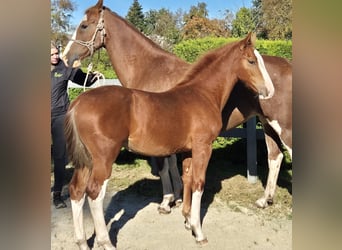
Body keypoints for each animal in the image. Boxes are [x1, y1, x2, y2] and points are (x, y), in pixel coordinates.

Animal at [65, 0, 294, 211]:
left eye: (84, 25)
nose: (67, 57)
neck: (149, 68)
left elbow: (164, 166)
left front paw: (167, 201)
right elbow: (174, 166)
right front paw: (177, 196)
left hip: (283, 126)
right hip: (267, 123)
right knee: (275, 156)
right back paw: (265, 200)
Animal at [65, 33, 276, 250]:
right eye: (251, 61)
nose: (269, 90)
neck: (203, 94)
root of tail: (78, 102)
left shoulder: (188, 150)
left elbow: (187, 179)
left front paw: (188, 220)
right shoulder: (203, 147)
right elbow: (199, 183)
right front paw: (199, 232)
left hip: (86, 160)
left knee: (76, 190)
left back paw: (82, 242)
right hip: (104, 158)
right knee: (94, 192)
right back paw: (105, 242)